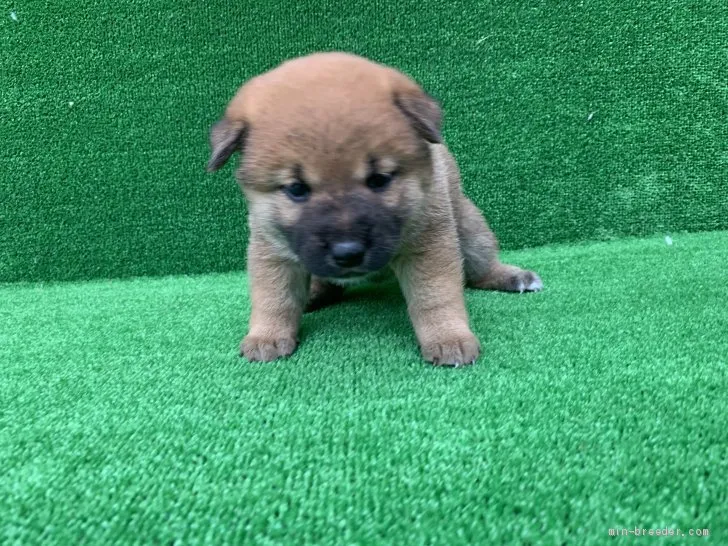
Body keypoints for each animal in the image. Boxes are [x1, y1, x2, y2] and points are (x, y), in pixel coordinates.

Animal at [205, 52, 540, 366]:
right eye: (297, 189)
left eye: (379, 180)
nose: (348, 253)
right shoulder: (272, 252)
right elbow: (273, 298)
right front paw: (267, 336)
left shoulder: (429, 245)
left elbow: (435, 298)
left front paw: (448, 337)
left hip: (470, 232)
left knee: (479, 268)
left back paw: (513, 277)